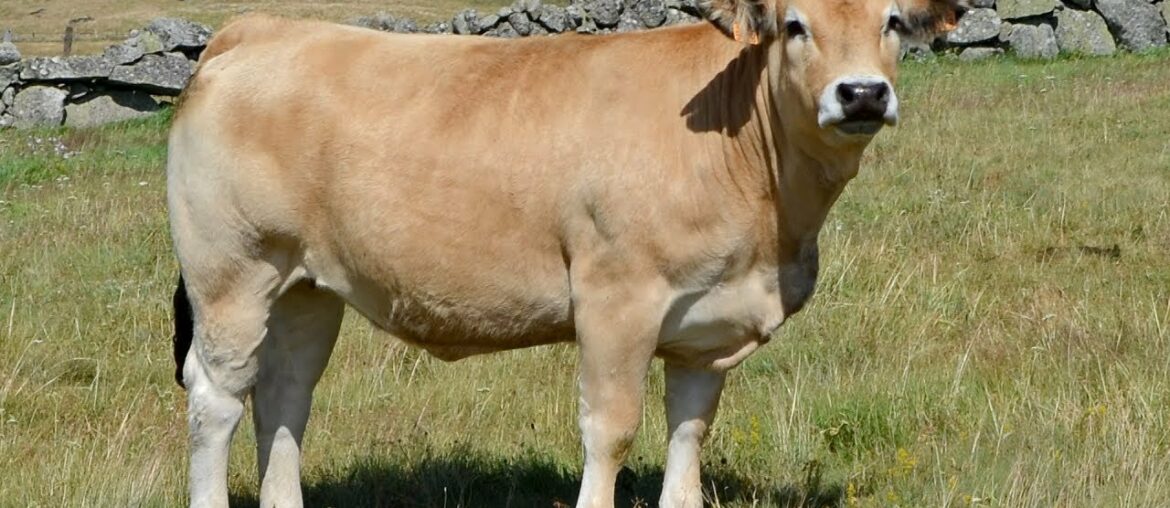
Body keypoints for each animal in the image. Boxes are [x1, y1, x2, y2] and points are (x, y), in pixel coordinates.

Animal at [167, 0, 963, 506]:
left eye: (892, 21)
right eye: (797, 24)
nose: (862, 94)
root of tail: (261, 29)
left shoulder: (706, 330)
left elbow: (689, 438)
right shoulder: (616, 298)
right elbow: (610, 432)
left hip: (306, 286)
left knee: (283, 395)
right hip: (231, 273)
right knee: (218, 399)